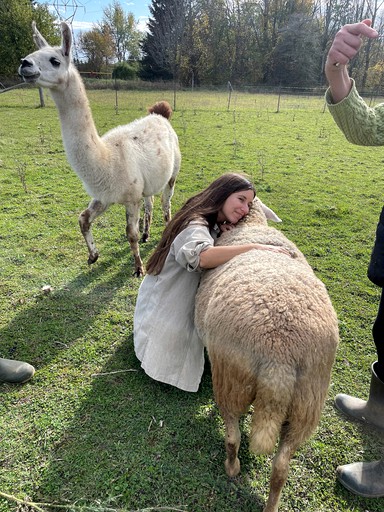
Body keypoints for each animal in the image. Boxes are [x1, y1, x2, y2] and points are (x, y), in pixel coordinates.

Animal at [195, 198, 340, 512]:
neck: (252, 224)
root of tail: (279, 354)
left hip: (232, 378)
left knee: (233, 434)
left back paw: (232, 467)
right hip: (308, 401)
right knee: (282, 465)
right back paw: (272, 504)